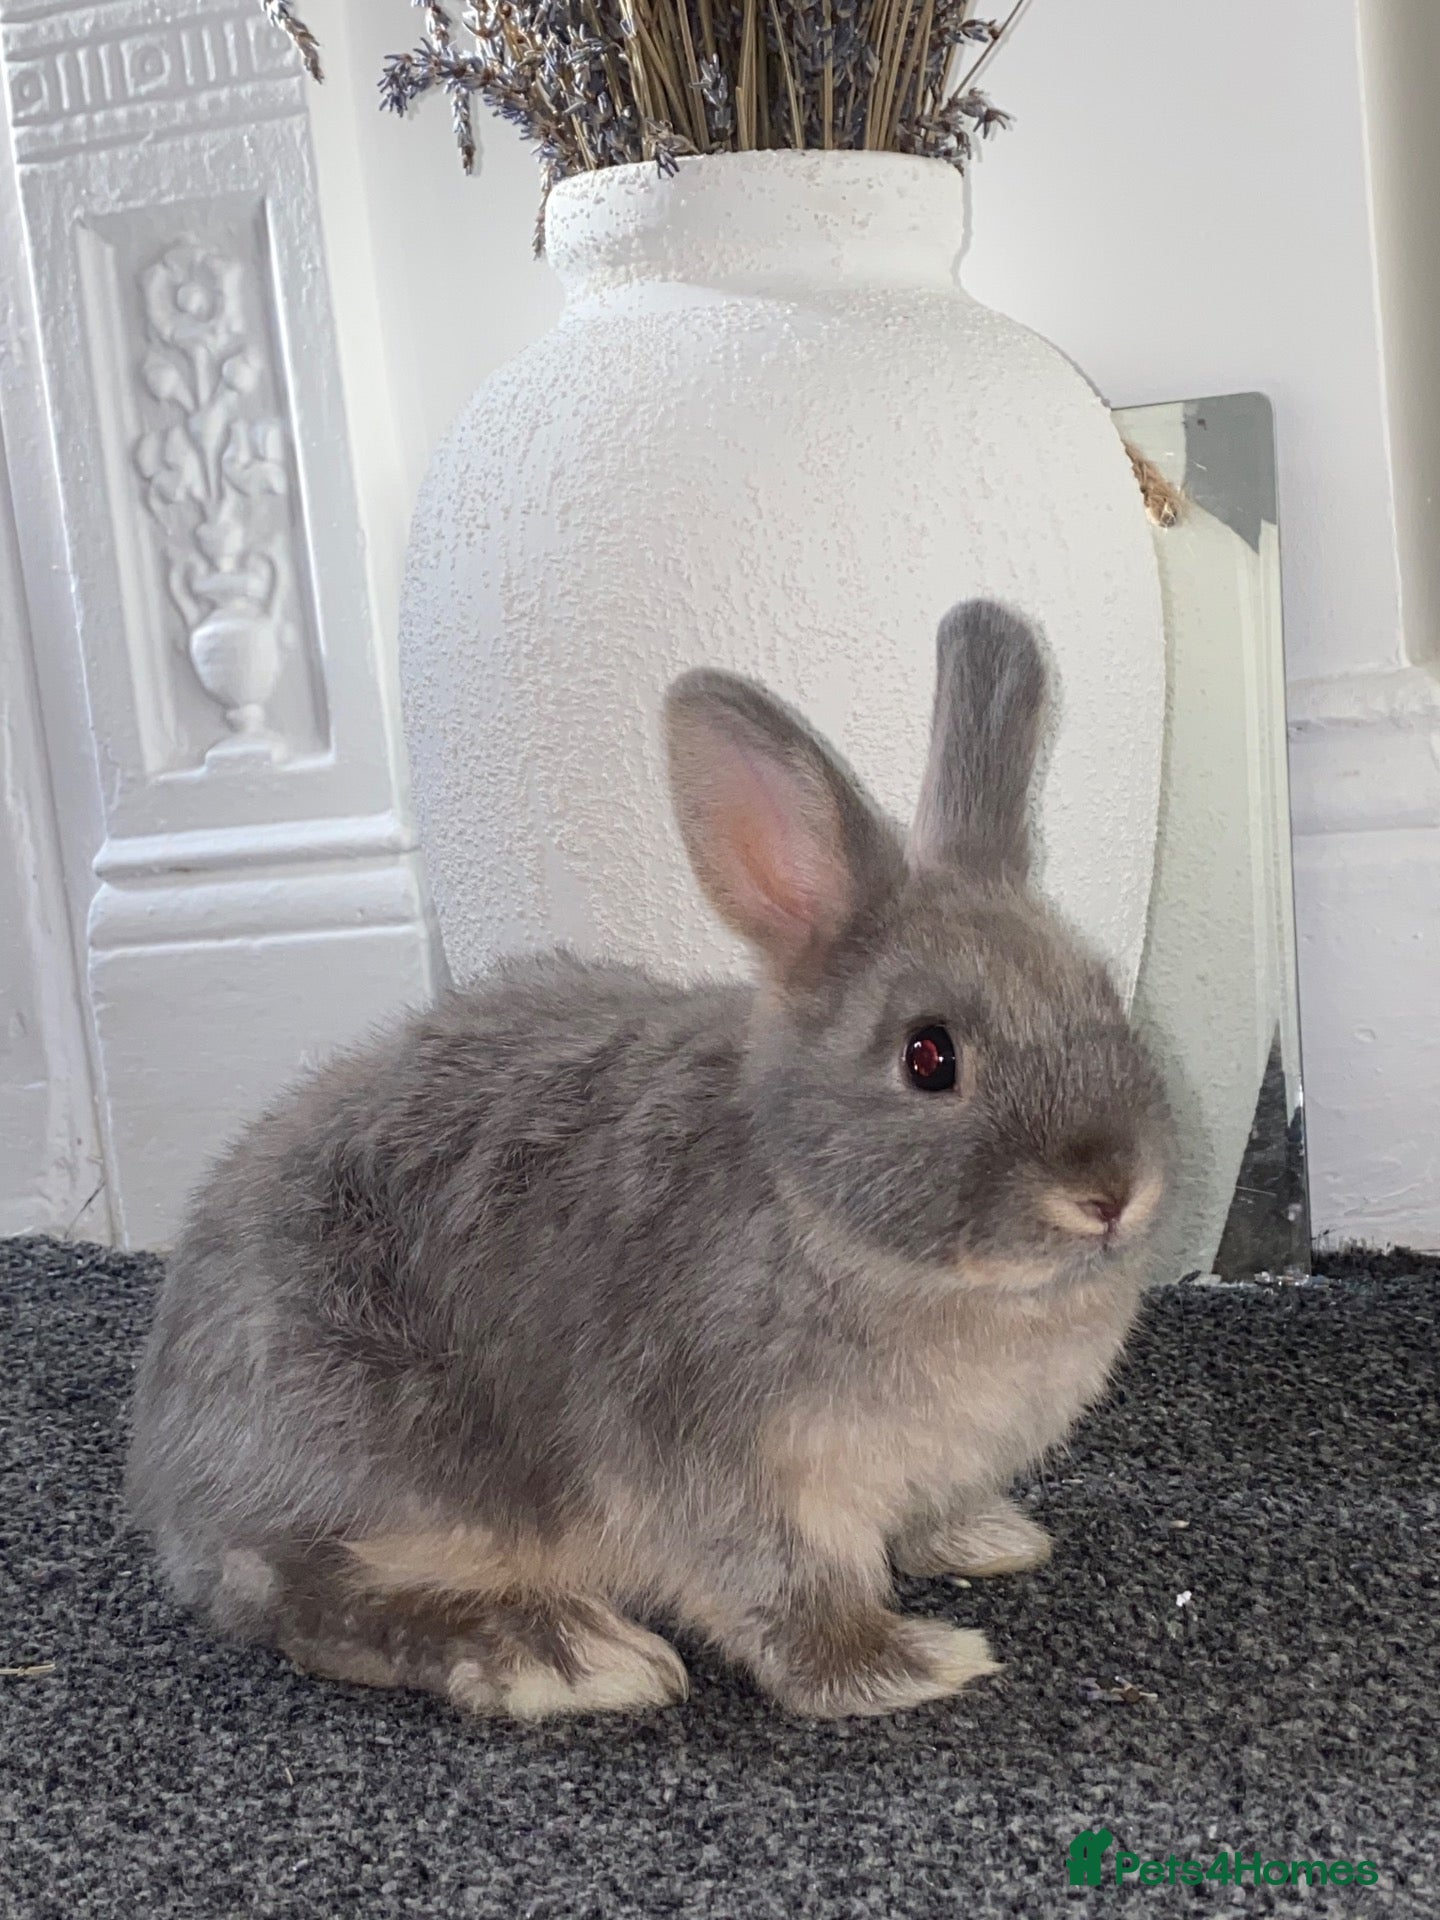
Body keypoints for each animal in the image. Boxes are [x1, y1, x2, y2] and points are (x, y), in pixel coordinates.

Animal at [126, 599, 1174, 1723]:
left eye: (1104, 998)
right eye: (929, 1056)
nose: (1110, 1192)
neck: (829, 1223)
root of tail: (171, 1474)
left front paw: (993, 1540)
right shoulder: (728, 1472)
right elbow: (787, 1601)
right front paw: (910, 1664)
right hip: (371, 1454)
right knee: (298, 1591)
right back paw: (568, 1654)